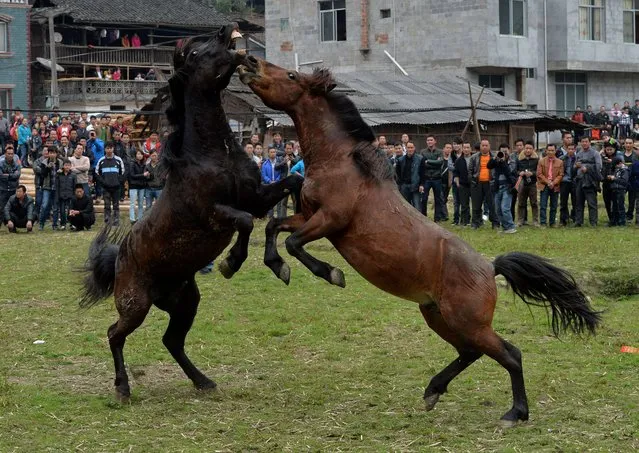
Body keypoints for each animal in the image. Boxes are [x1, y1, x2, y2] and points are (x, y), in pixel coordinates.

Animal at [80, 24, 304, 400]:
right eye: (197, 53)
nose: (227, 30)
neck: (213, 154)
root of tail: (119, 257)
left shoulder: (257, 197)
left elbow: (294, 181)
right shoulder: (212, 214)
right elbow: (244, 222)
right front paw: (231, 263)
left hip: (186, 301)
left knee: (171, 340)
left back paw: (203, 382)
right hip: (135, 303)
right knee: (115, 333)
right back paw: (123, 389)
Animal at [241, 59, 604, 424]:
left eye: (290, 75)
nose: (250, 63)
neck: (339, 163)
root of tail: (489, 269)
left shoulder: (330, 220)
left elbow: (294, 243)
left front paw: (331, 273)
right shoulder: (308, 215)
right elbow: (274, 227)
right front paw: (277, 266)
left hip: (467, 321)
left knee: (510, 354)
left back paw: (515, 412)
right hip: (437, 315)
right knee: (470, 353)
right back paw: (433, 391)